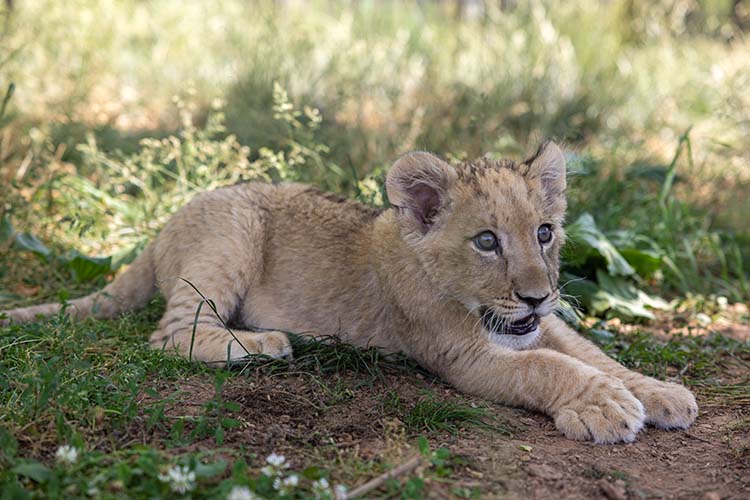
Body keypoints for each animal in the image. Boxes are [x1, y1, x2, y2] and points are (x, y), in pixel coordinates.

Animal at [1, 141, 697, 443]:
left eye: (545, 233)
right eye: (487, 242)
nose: (534, 295)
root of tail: (161, 229)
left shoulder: (534, 326)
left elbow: (592, 353)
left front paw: (657, 393)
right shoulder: (461, 356)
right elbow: (550, 367)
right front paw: (604, 408)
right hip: (233, 230)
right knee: (170, 333)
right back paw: (262, 345)